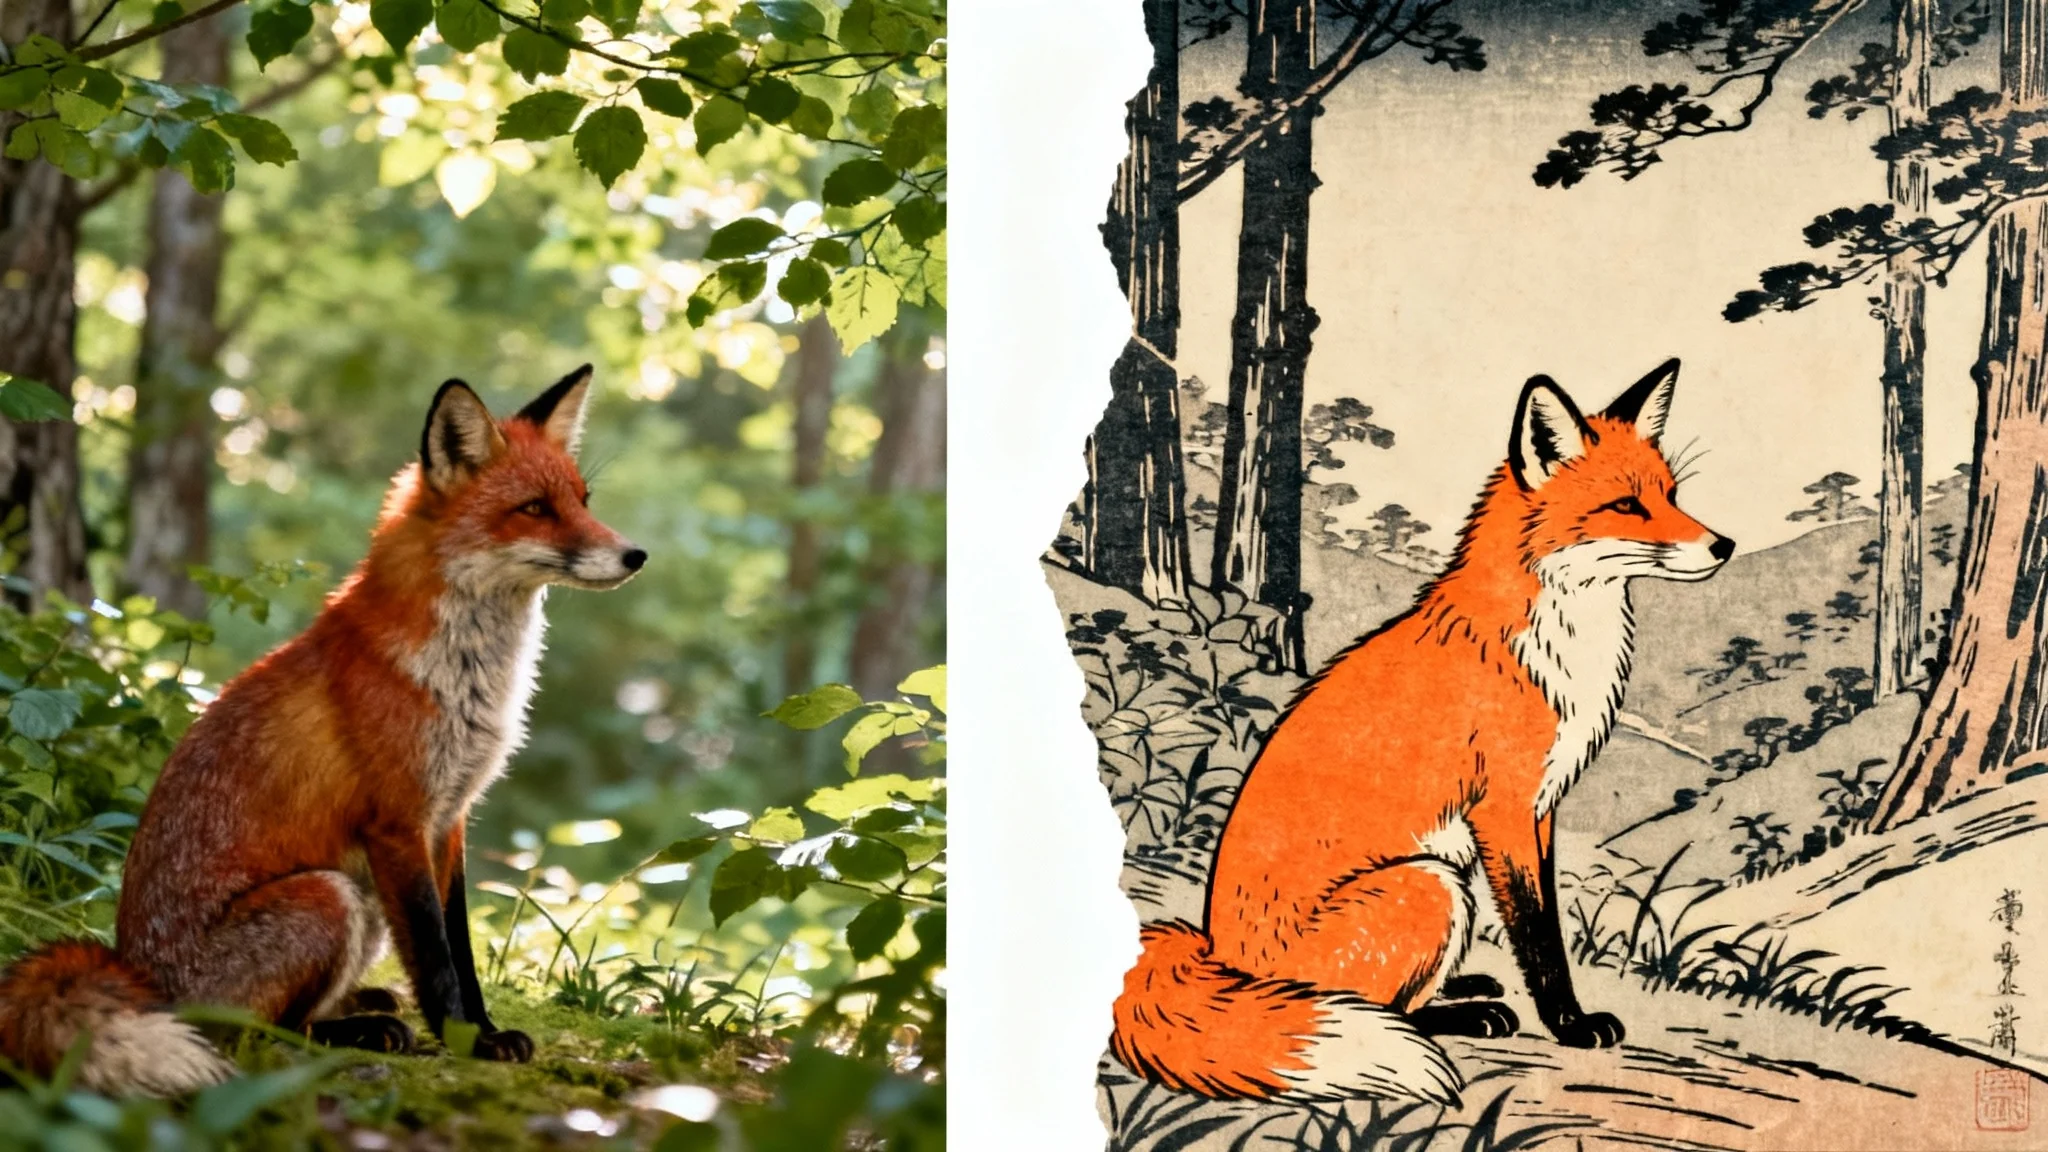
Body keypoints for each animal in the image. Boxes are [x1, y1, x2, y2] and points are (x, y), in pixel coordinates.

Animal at [0, 368, 644, 1096]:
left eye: (584, 500)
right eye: (535, 508)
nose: (635, 555)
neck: (465, 679)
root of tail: (141, 979)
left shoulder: (450, 817)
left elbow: (459, 945)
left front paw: (479, 1028)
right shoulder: (398, 822)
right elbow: (436, 956)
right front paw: (467, 1040)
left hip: (360, 902)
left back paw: (363, 1003)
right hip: (328, 896)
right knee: (257, 1031)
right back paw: (362, 1028)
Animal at [1110, 360, 1732, 1105]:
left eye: (1671, 495)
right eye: (1626, 507)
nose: (1725, 545)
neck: (1553, 648)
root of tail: (1219, 957)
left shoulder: (1541, 808)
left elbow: (1543, 918)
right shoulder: (1505, 809)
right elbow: (1540, 934)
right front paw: (1571, 1024)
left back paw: (1465, 986)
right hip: (1431, 883)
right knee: (1378, 1010)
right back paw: (1467, 1013)